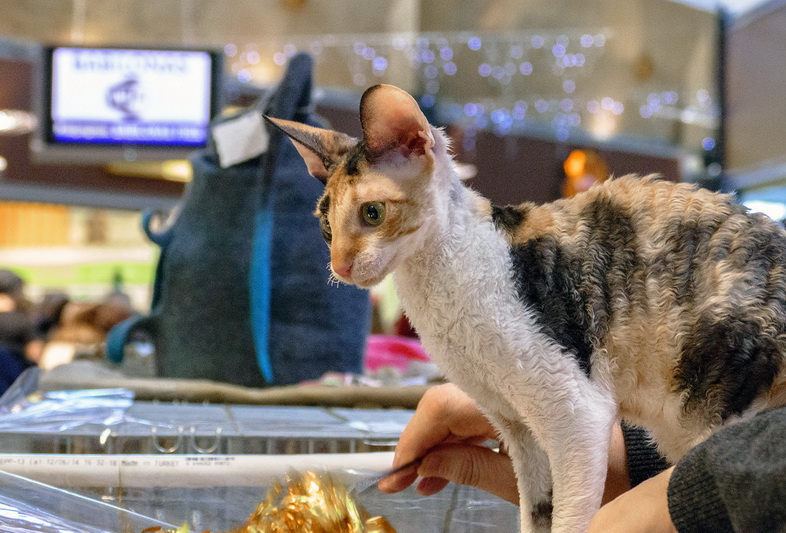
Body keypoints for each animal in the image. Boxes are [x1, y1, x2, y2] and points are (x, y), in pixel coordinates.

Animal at [265, 84, 786, 533]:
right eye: (325, 227)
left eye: (372, 213)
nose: (341, 265)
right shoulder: (518, 427)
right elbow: (537, 511)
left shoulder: (576, 414)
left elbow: (572, 518)